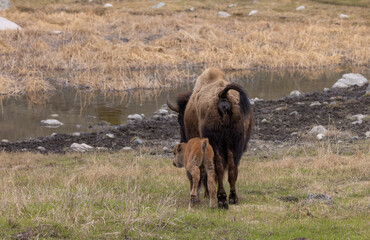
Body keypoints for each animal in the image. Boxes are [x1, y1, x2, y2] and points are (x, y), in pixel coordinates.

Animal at [168, 67, 253, 208]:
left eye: (180, 120)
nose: (182, 141)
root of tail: (223, 96)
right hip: (236, 144)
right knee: (232, 167)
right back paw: (233, 198)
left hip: (214, 143)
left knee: (217, 168)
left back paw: (221, 199)